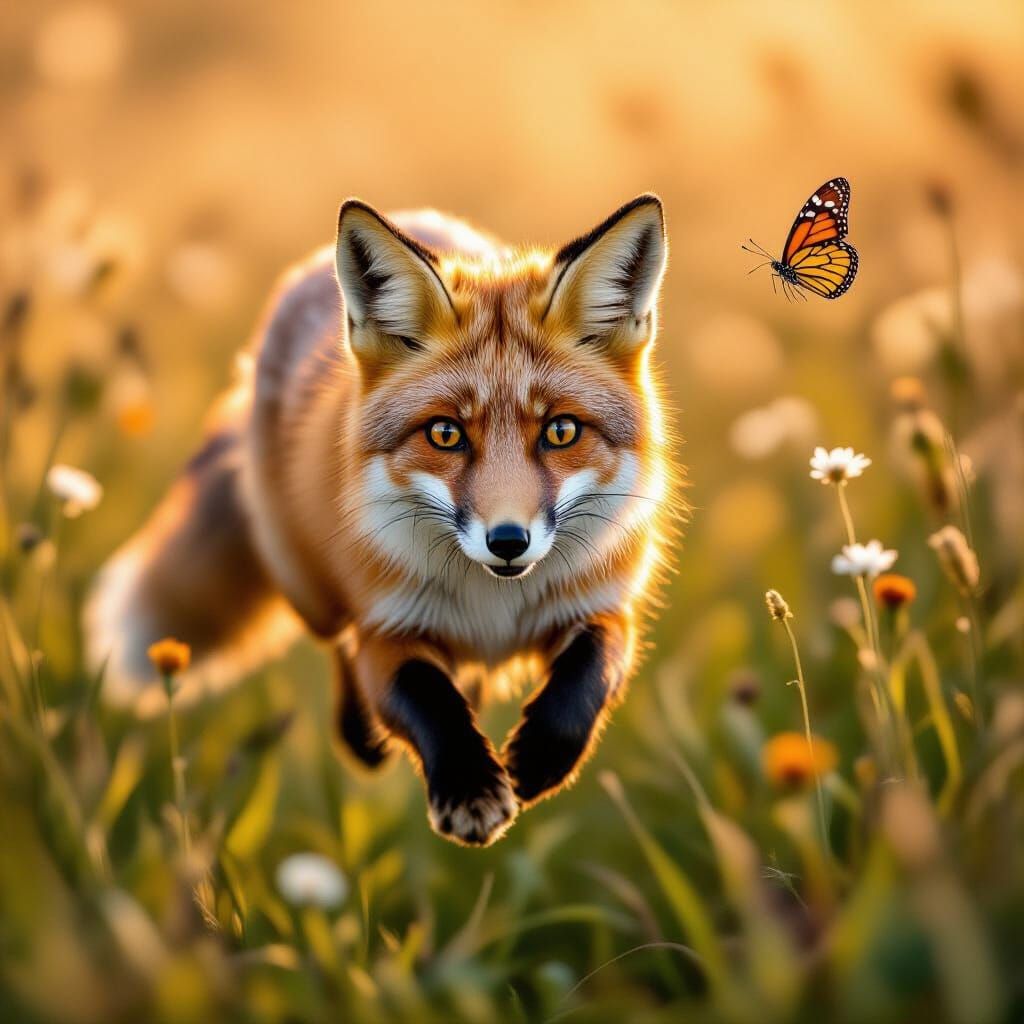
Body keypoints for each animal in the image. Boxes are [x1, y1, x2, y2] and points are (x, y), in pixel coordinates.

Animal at [85, 194, 679, 847]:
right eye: (445, 434)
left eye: (561, 431)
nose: (507, 541)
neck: (493, 607)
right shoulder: (388, 625)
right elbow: (428, 699)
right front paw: (469, 788)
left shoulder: (601, 605)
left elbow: (589, 678)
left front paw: (539, 759)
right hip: (310, 592)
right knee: (342, 648)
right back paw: (362, 737)